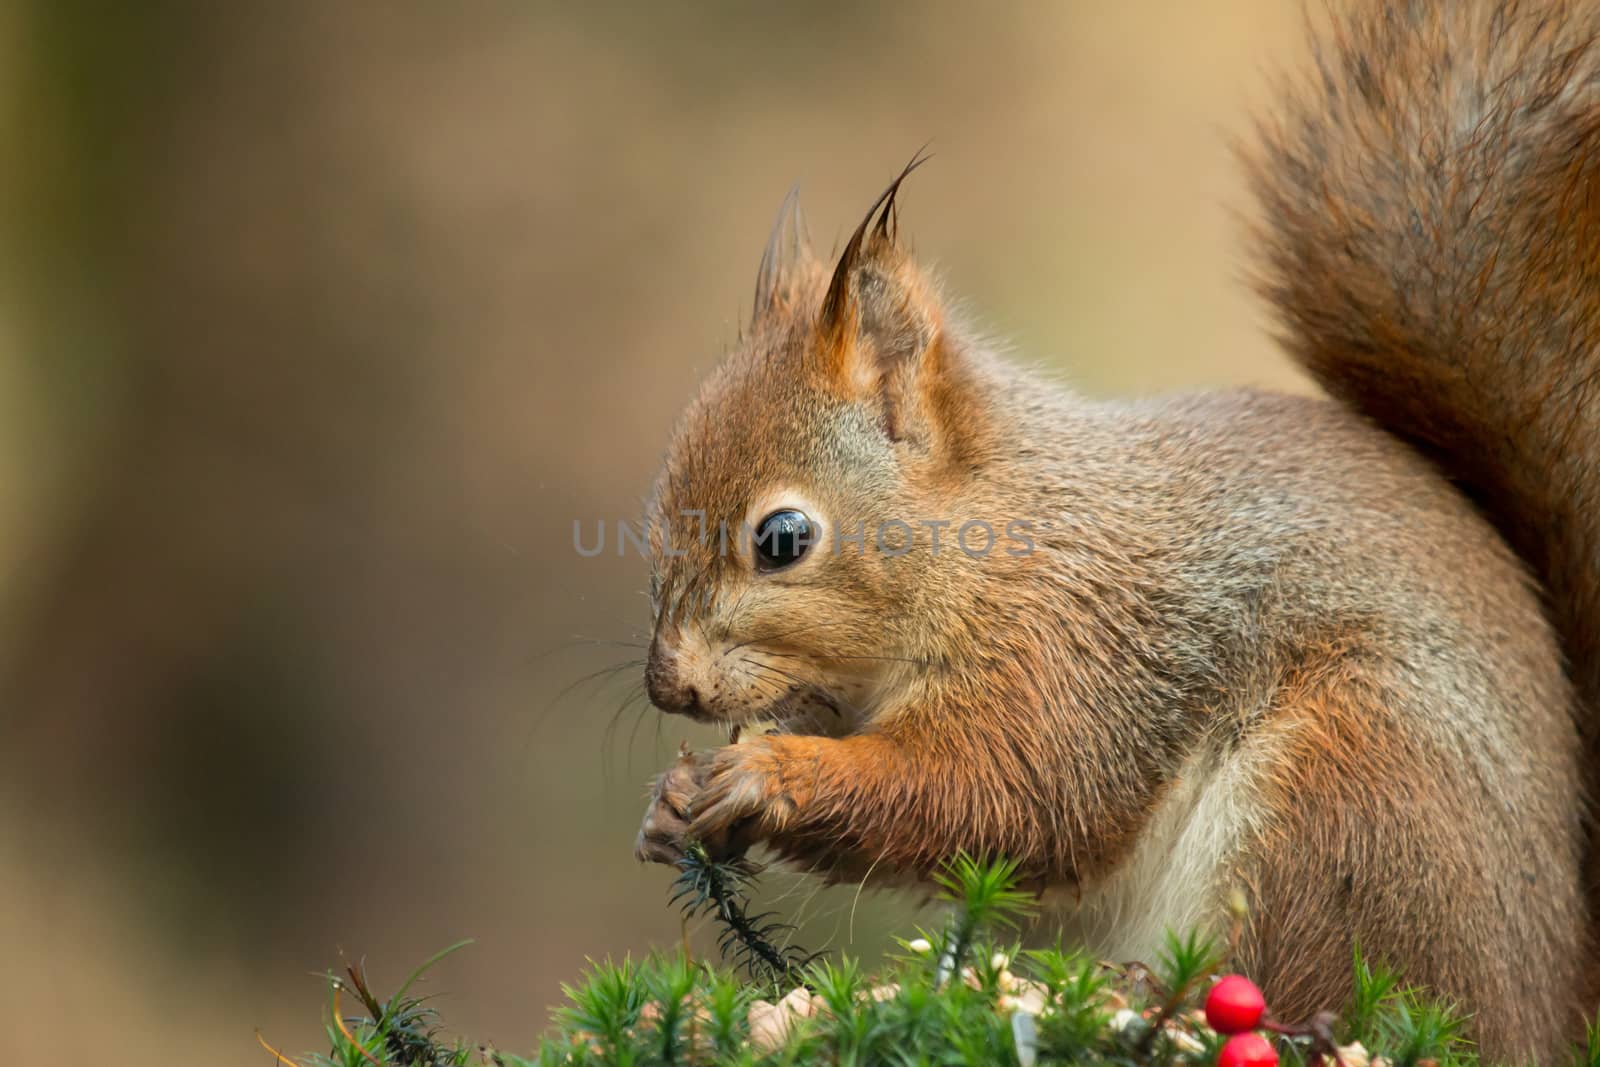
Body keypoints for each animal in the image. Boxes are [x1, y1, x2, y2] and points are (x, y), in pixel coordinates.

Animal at [630, 2, 1600, 1062]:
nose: (667, 683)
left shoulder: (1073, 650)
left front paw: (766, 774)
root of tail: (1544, 997)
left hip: (1349, 792)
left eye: (782, 538)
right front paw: (672, 806)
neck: (991, 541)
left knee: (1310, 975)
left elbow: (1004, 790)